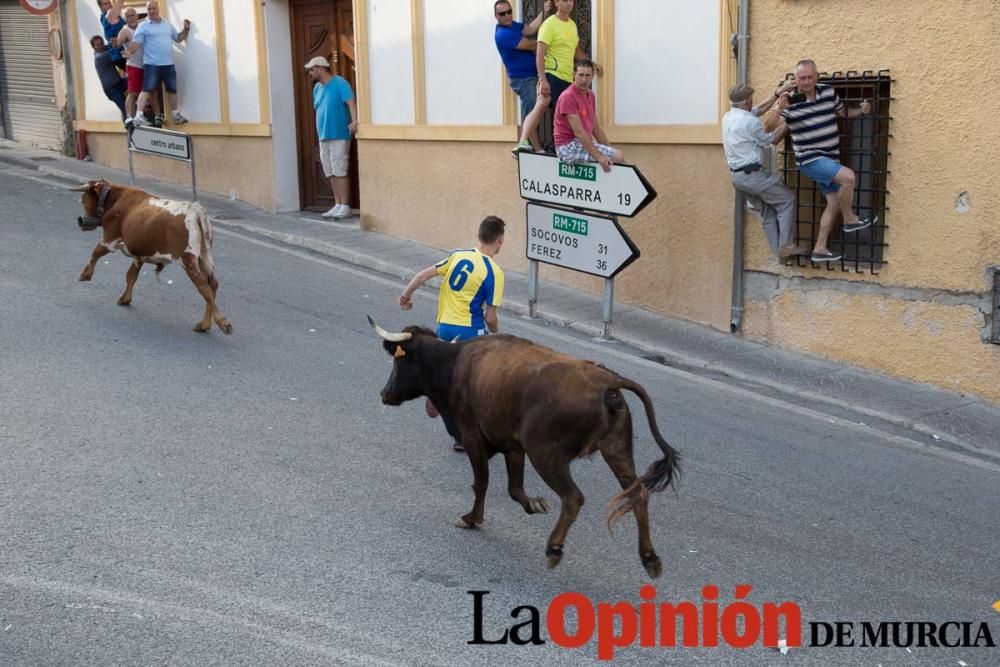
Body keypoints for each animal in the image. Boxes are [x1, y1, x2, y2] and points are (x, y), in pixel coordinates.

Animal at [72, 180, 232, 334]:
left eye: (84, 200)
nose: (80, 220)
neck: (116, 199)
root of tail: (195, 210)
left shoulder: (109, 240)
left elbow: (95, 253)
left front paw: (85, 274)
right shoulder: (139, 255)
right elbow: (131, 276)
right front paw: (125, 298)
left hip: (188, 259)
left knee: (204, 287)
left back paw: (222, 323)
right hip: (203, 258)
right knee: (213, 285)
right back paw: (204, 324)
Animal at [372, 318, 684, 580]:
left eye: (398, 360)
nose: (384, 393)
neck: (454, 364)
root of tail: (606, 380)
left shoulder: (473, 438)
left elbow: (481, 483)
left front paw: (471, 519)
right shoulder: (513, 446)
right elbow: (514, 487)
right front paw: (534, 504)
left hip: (546, 454)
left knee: (573, 497)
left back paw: (554, 548)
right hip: (617, 450)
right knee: (638, 495)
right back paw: (649, 558)